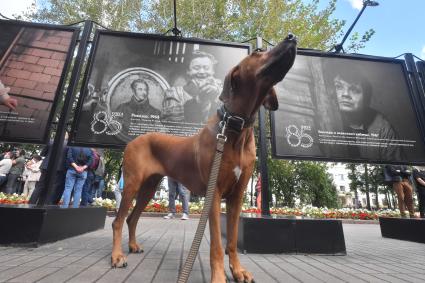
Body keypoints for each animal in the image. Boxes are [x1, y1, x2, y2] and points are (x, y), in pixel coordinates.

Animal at [112, 34, 296, 282]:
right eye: (258, 52)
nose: (292, 37)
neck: (236, 126)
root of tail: (134, 139)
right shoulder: (214, 193)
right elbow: (217, 243)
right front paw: (219, 276)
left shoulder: (237, 195)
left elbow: (232, 241)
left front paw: (237, 270)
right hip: (132, 183)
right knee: (118, 221)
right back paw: (117, 256)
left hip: (149, 187)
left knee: (132, 218)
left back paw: (132, 246)